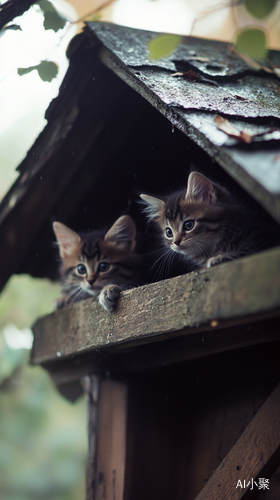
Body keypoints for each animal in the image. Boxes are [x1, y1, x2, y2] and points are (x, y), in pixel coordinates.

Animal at [141, 173, 278, 274]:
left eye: (188, 225)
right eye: (169, 232)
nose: (176, 242)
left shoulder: (261, 241)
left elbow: (244, 252)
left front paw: (219, 258)